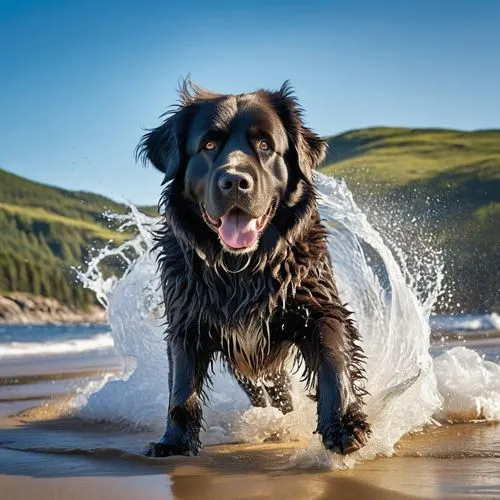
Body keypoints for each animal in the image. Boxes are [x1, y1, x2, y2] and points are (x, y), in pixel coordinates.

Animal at [138, 79, 372, 458]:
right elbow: (182, 389)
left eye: (265, 145)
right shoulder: (186, 323)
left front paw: (344, 425)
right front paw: (175, 442)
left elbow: (334, 360)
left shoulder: (319, 306)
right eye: (208, 145)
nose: (234, 181)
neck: (242, 269)